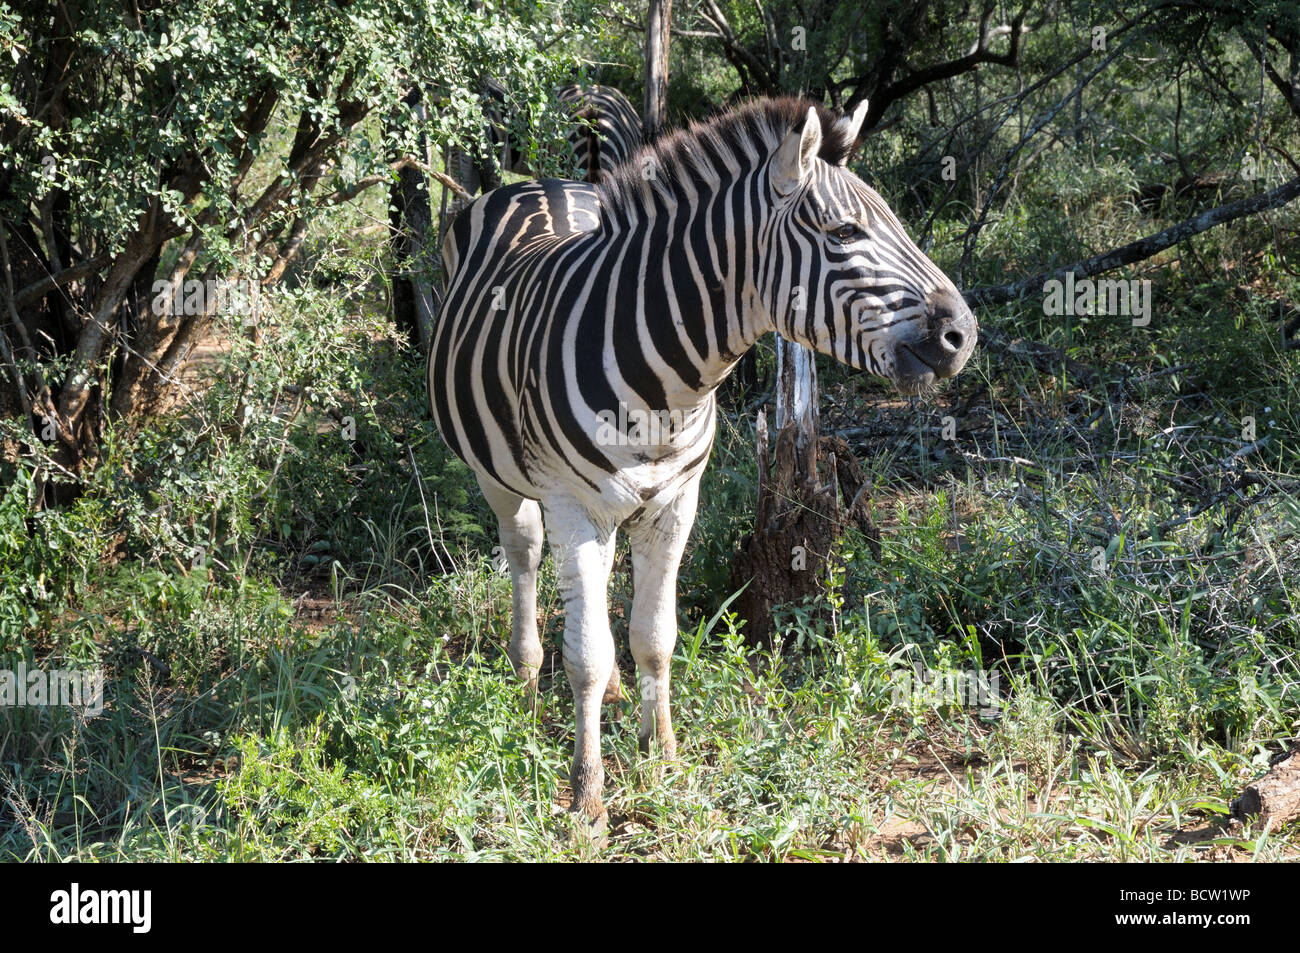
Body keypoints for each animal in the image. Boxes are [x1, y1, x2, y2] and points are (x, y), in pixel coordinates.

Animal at [428, 97, 977, 827]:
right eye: (843, 232)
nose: (964, 334)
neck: (666, 389)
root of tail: (536, 183)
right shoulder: (574, 507)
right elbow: (585, 655)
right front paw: (588, 797)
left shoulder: (675, 503)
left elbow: (653, 635)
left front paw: (661, 759)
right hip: (499, 472)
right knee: (523, 553)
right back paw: (523, 676)